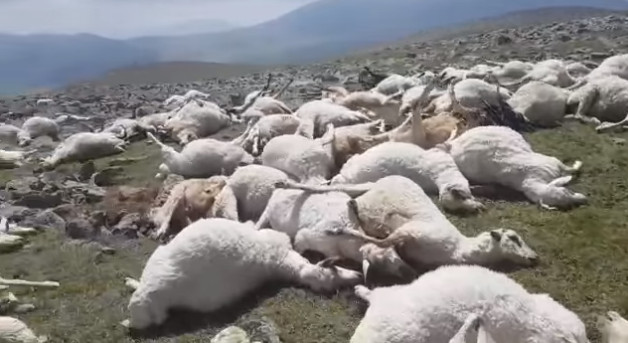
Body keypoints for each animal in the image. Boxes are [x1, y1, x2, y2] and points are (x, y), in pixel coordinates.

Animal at [440, 126, 588, 211]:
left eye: (568, 191)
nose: (585, 199)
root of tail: (455, 144)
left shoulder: (554, 162)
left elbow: (570, 169)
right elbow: (571, 170)